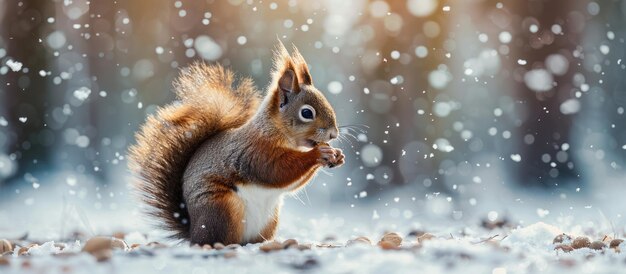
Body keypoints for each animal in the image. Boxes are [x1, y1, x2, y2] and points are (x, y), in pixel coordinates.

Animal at [126, 41, 342, 245]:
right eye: (306, 113)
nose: (334, 134)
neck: (277, 133)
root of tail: (193, 231)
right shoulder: (253, 151)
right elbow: (276, 170)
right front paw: (318, 154)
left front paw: (337, 155)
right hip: (222, 209)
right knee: (217, 239)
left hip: (269, 219)